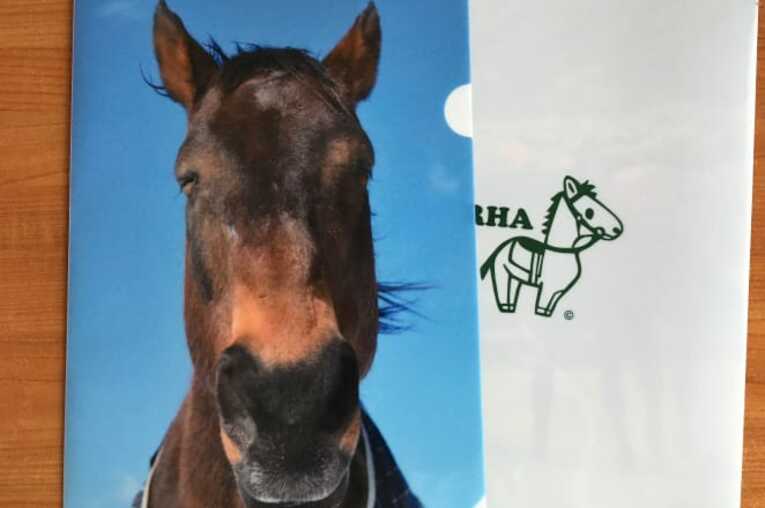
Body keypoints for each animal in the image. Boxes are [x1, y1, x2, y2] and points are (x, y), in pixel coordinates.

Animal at [480, 176, 623, 317]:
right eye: (589, 212)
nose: (617, 229)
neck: (562, 252)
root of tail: (502, 245)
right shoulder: (547, 288)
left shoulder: (557, 292)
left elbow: (546, 310)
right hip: (503, 272)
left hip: (515, 276)